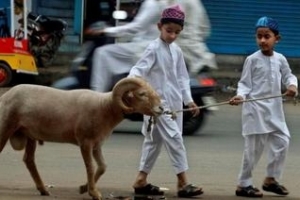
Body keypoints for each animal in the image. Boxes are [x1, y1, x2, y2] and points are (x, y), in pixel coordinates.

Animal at [0, 77, 163, 200]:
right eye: (142, 94)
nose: (161, 108)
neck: (104, 107)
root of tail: (5, 95)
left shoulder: (97, 144)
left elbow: (102, 167)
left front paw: (83, 188)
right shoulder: (85, 142)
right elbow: (90, 167)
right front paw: (94, 193)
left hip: (30, 136)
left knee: (29, 160)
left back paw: (43, 190)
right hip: (5, 128)